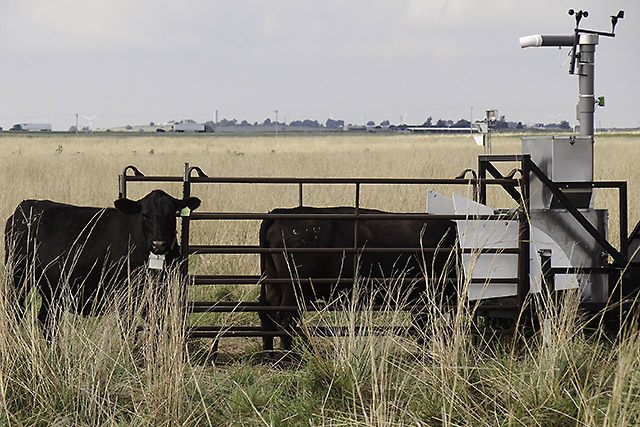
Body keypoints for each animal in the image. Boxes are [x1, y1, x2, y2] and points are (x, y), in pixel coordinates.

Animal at [4, 189, 201, 338]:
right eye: (144, 215)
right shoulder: (124, 295)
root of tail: (25, 206)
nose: (158, 244)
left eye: (171, 215)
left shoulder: (160, 295)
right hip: (17, 277)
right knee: (15, 313)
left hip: (52, 289)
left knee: (47, 320)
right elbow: (127, 328)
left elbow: (157, 328)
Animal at [258, 206, 458, 351]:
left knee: (268, 312)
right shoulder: (424, 298)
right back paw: (287, 357)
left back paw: (269, 353)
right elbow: (423, 328)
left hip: (275, 284)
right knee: (285, 319)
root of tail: (281, 213)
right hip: (295, 290)